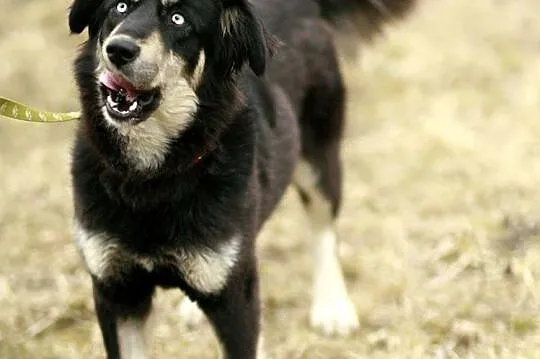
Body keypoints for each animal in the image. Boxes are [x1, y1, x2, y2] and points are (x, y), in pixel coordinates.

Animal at [66, 1, 414, 358]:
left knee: (323, 227)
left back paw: (332, 307)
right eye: (120, 6)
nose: (118, 49)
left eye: (179, 19)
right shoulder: (117, 292)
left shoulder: (235, 304)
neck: (155, 175)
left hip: (318, 156)